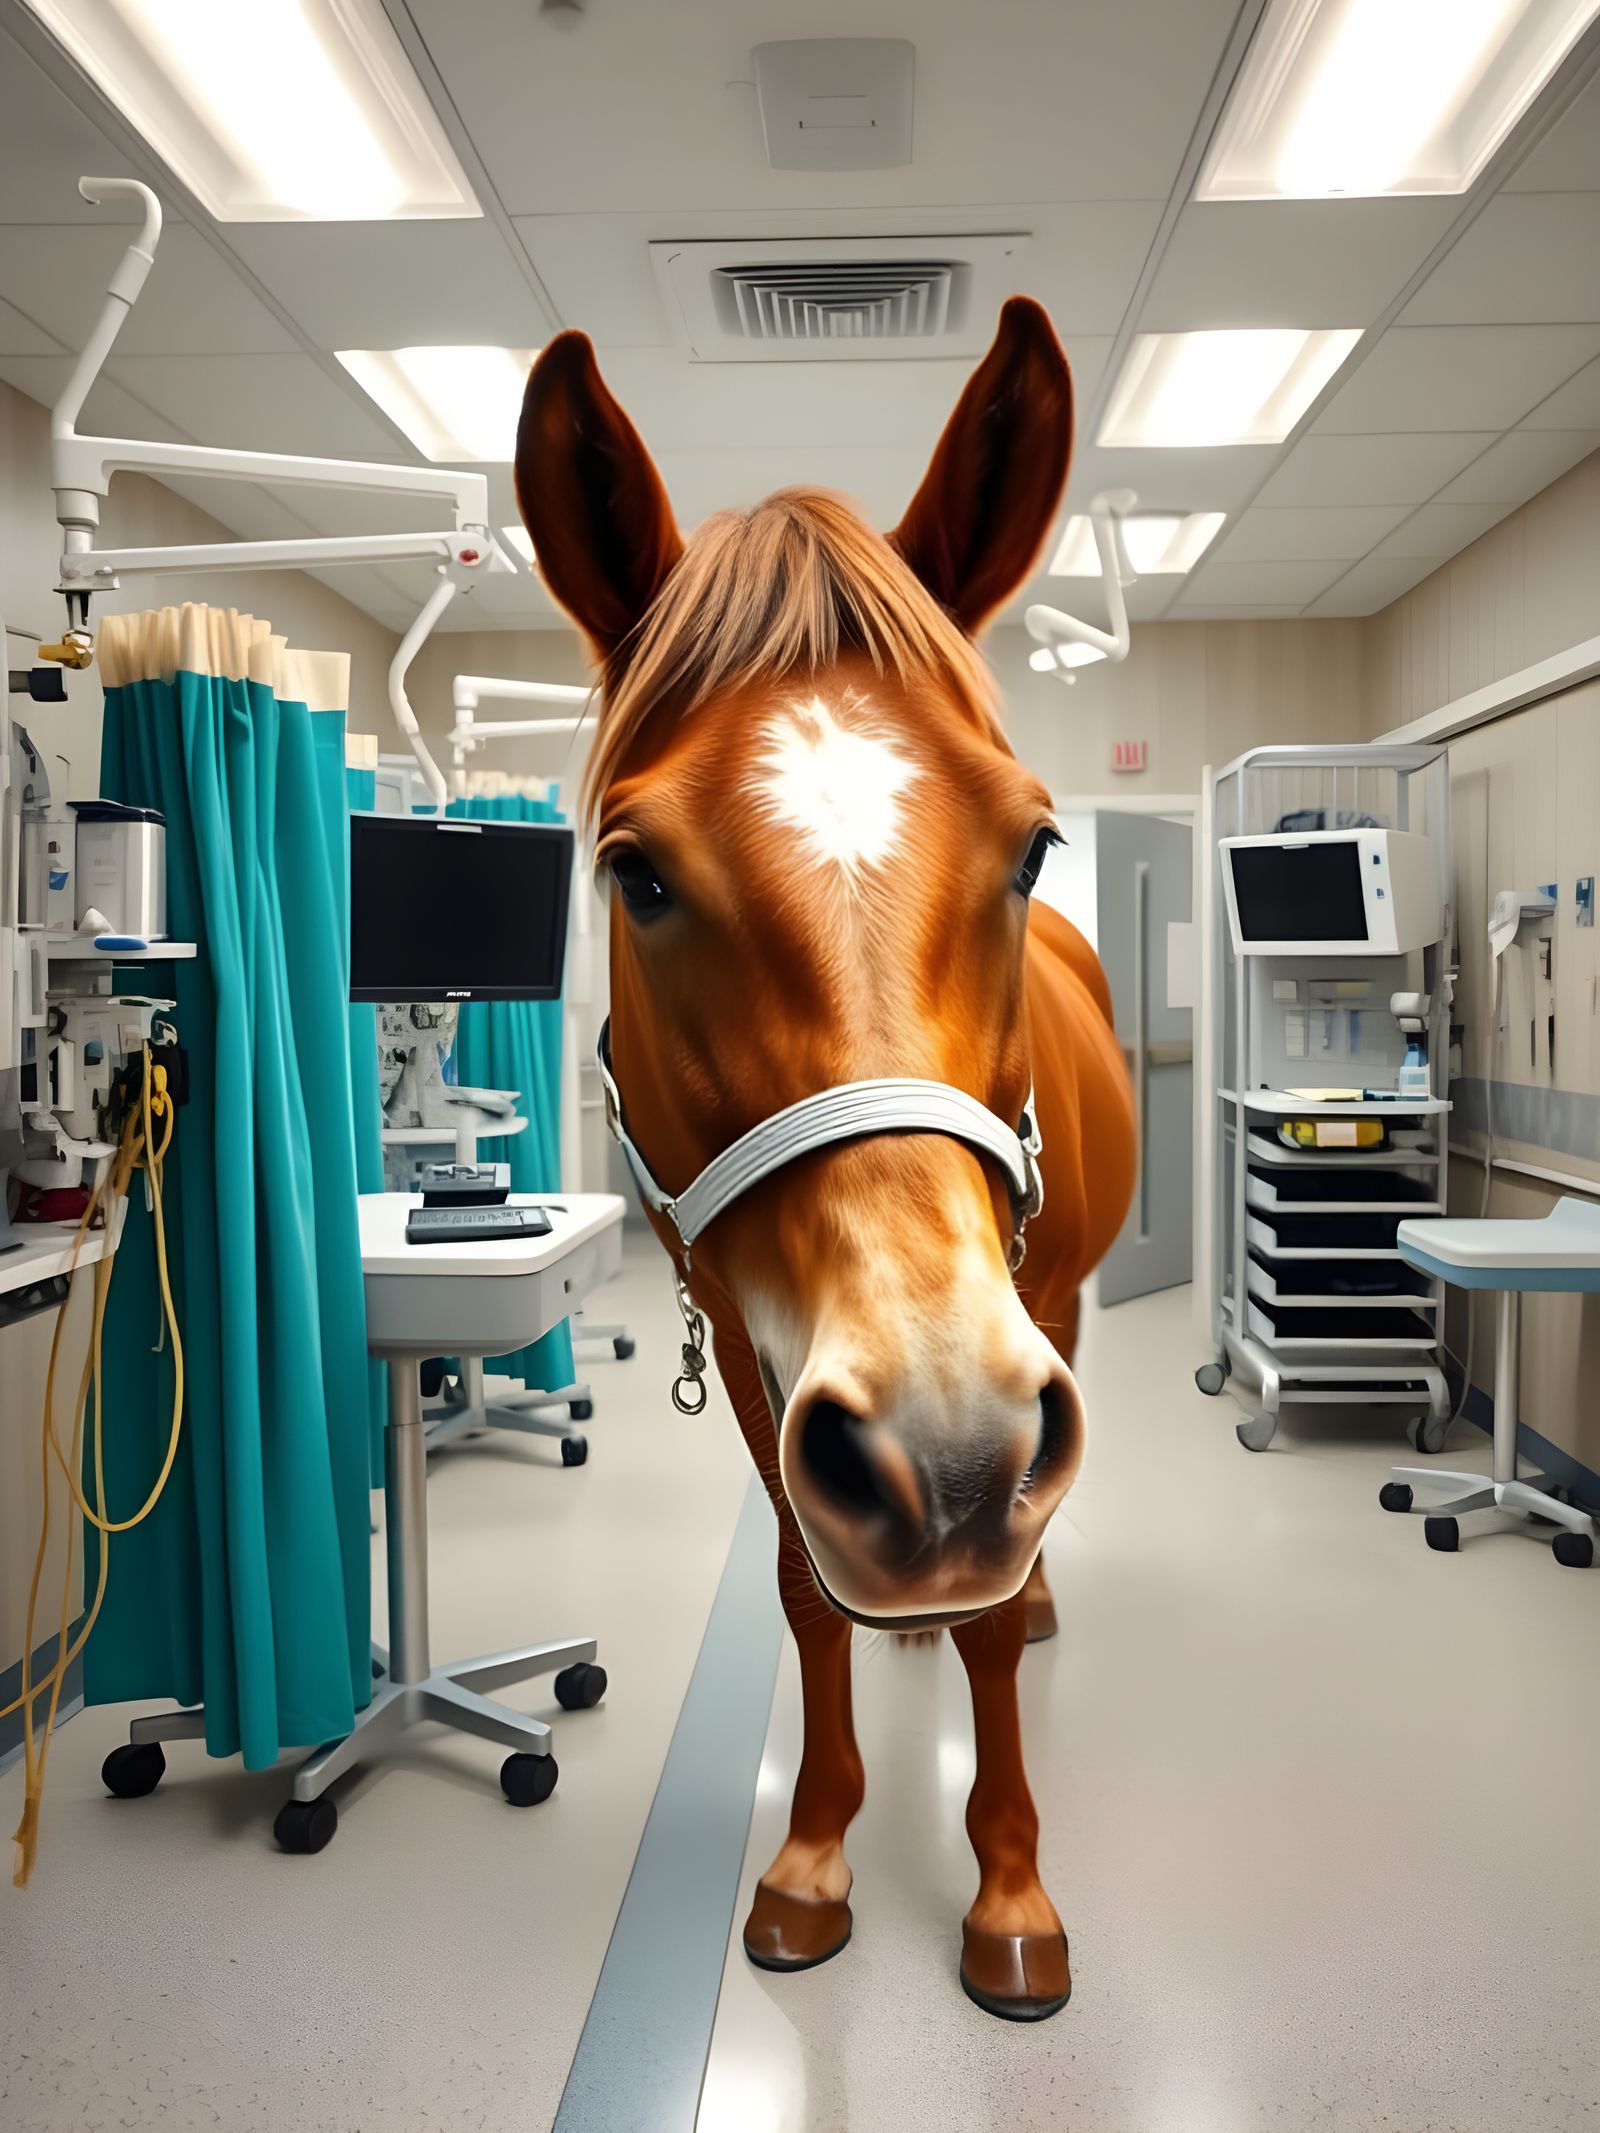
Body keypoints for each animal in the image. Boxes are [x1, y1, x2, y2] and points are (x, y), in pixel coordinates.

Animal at [515, 297, 1136, 2022]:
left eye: (1035, 847)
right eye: (636, 875)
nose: (950, 1454)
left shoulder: (1015, 1333)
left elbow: (984, 1634)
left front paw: (1009, 1889)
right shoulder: (754, 1343)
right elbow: (805, 1589)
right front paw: (811, 1856)